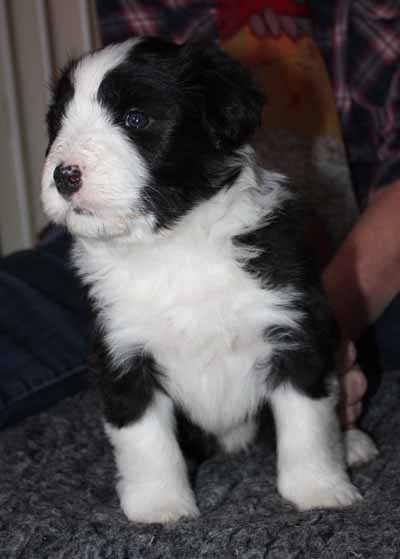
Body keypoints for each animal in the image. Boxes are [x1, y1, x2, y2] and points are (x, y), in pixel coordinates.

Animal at [41, 38, 378, 523]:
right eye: (58, 122)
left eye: (135, 118)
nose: (64, 175)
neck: (172, 246)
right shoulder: (121, 352)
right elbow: (144, 438)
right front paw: (160, 505)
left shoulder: (295, 329)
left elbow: (307, 421)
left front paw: (318, 489)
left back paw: (351, 443)